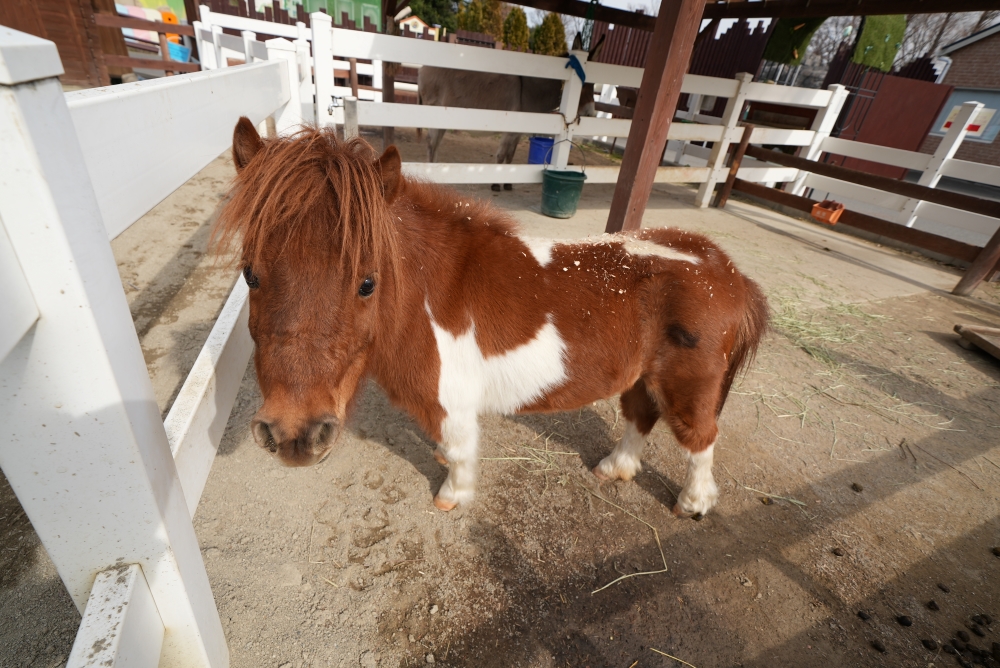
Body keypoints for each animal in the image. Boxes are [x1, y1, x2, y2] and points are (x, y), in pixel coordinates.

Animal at [217, 117, 764, 520]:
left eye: (367, 282)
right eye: (250, 275)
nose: (294, 436)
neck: (425, 293)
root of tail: (727, 270)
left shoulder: (452, 401)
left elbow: (459, 452)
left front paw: (451, 497)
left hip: (689, 388)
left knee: (700, 440)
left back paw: (693, 504)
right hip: (642, 377)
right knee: (640, 419)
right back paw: (615, 468)